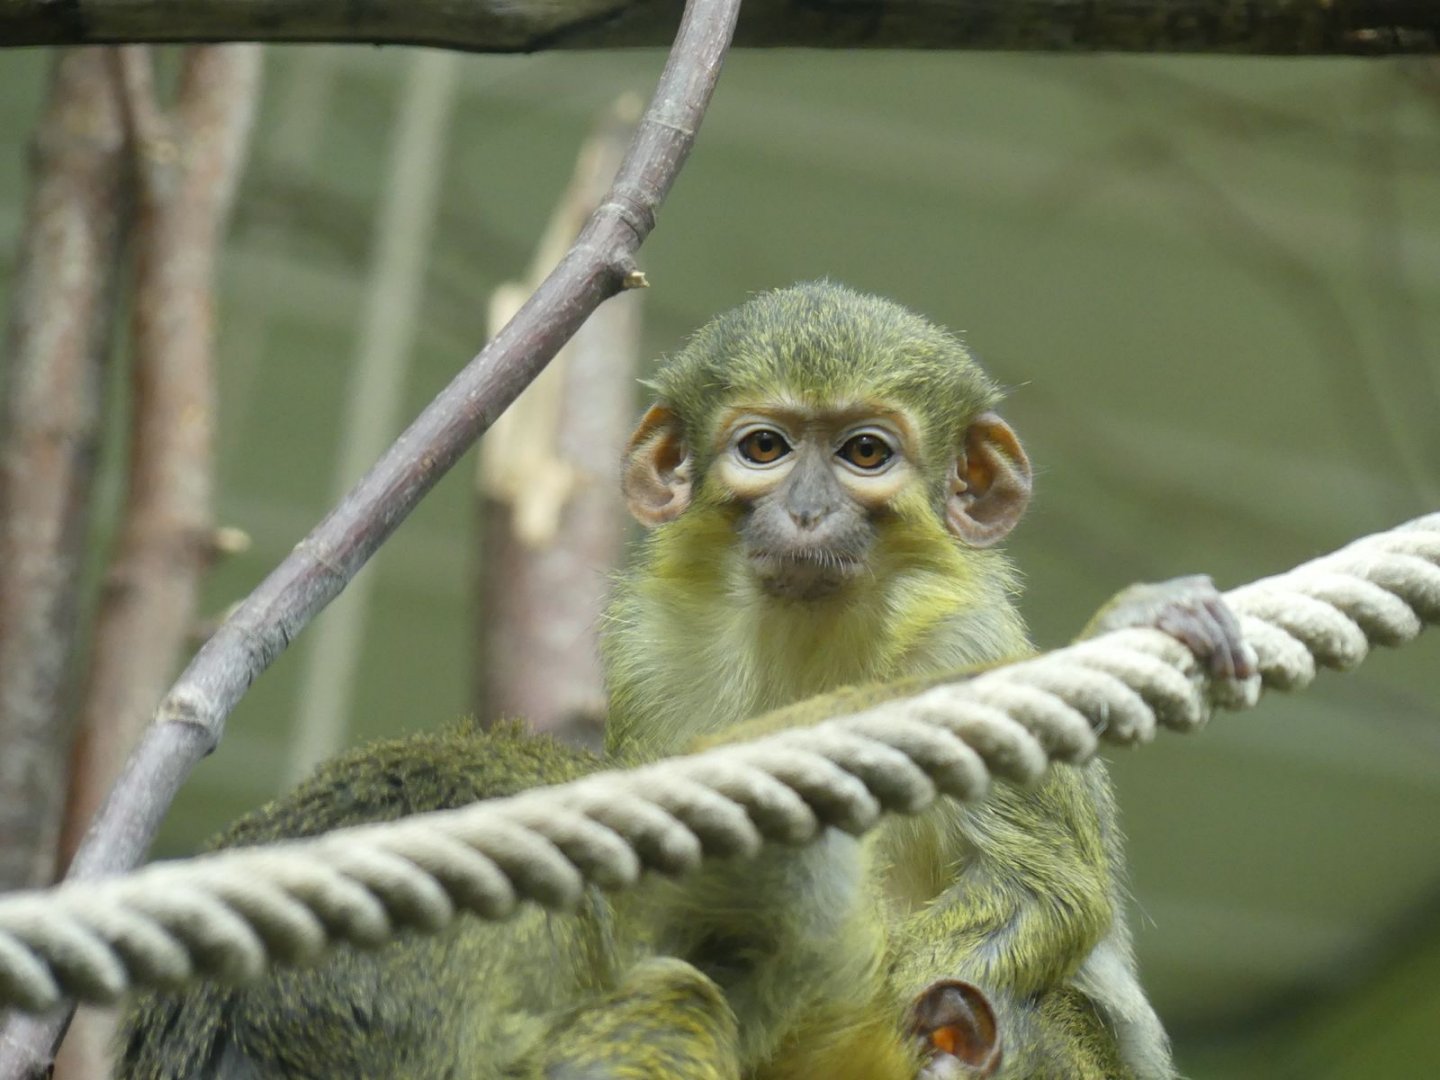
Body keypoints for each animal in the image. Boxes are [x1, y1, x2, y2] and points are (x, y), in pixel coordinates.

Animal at [117, 282, 1245, 1079]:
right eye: (766, 448)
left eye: (865, 455)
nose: (805, 512)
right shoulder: (651, 644)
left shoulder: (962, 636)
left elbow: (1040, 890)